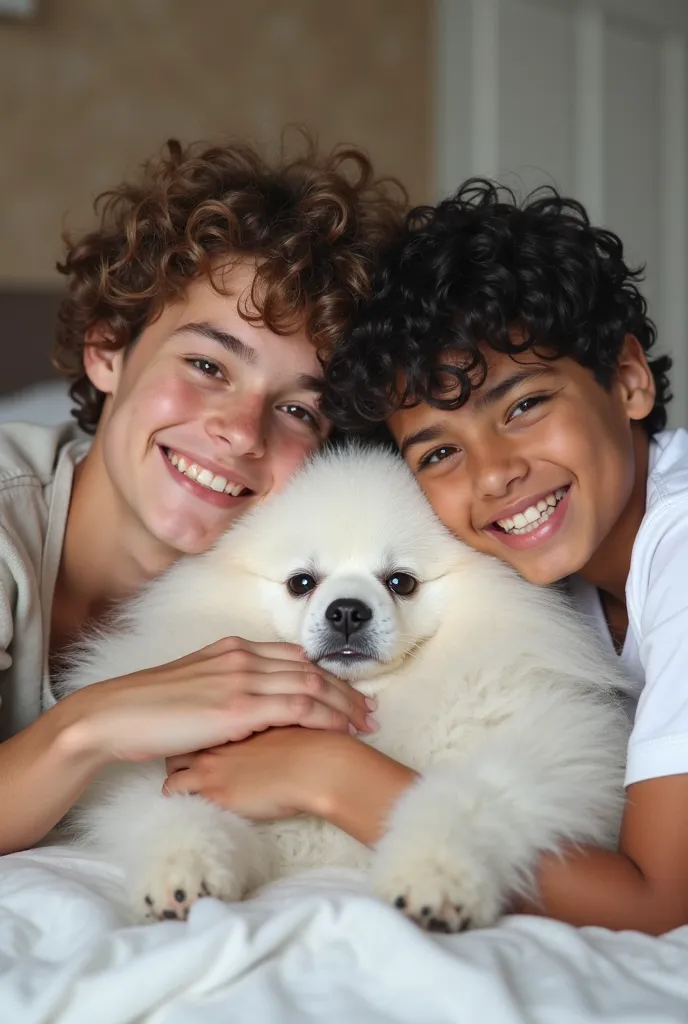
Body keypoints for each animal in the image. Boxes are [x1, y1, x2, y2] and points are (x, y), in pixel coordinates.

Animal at [56, 444, 630, 933]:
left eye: (401, 582)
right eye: (301, 582)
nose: (348, 611)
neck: (372, 701)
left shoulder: (540, 750)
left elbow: (464, 798)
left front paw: (433, 882)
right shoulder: (170, 773)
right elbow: (180, 810)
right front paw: (182, 876)